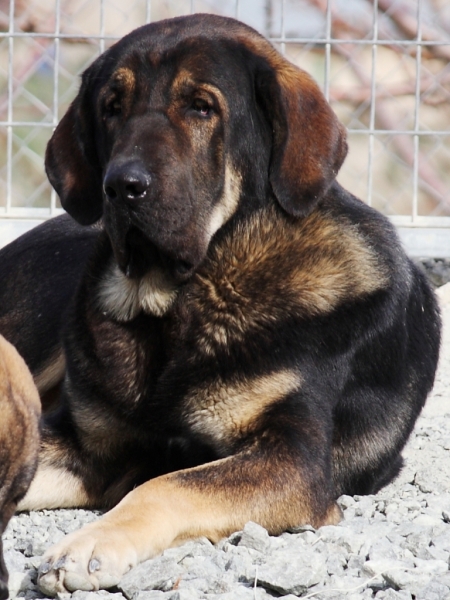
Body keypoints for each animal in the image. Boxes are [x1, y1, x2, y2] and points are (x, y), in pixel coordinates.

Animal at [0, 12, 440, 596]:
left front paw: (89, 545)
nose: (122, 186)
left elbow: (168, 485)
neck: (179, 302)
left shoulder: (292, 458)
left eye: (201, 107)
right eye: (111, 107)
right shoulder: (86, 445)